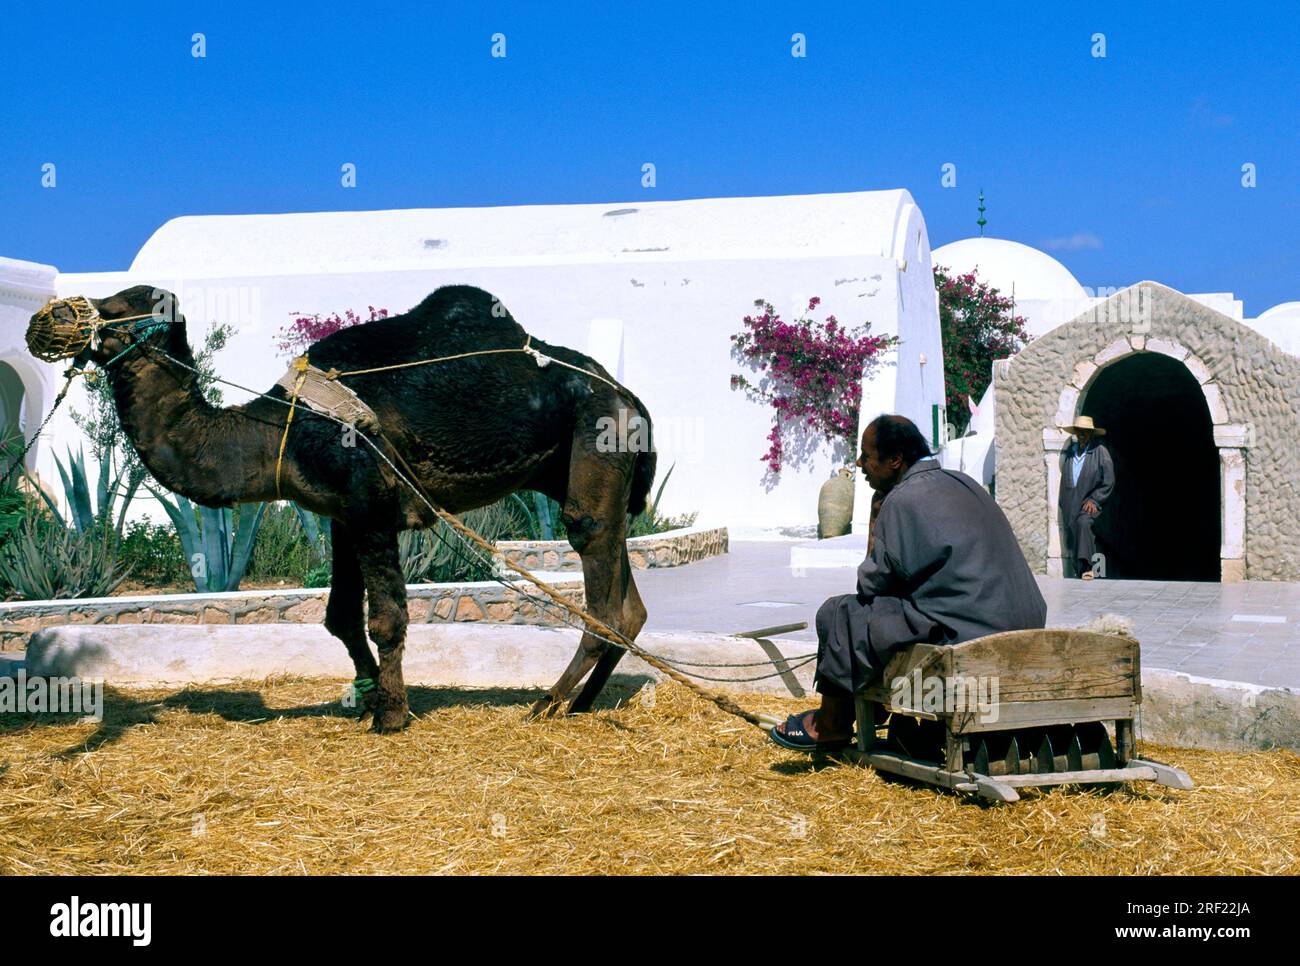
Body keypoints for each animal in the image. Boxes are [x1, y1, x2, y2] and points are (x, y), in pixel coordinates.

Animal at [31, 287, 655, 733]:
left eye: (123, 305)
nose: (47, 321)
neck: (274, 434)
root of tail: (630, 396)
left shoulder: (371, 504)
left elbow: (386, 618)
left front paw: (391, 714)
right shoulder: (340, 513)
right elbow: (339, 617)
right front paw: (368, 698)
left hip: (597, 439)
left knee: (597, 577)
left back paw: (548, 702)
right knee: (629, 607)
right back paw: (583, 703)